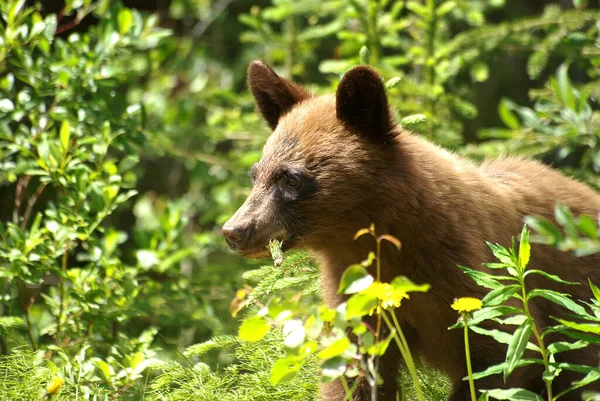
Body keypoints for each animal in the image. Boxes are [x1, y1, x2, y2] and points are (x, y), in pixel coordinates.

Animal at [220, 61, 600, 400]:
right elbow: (353, 375)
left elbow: (502, 355)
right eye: (256, 174)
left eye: (291, 178)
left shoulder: (472, 280)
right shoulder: (356, 294)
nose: (234, 230)